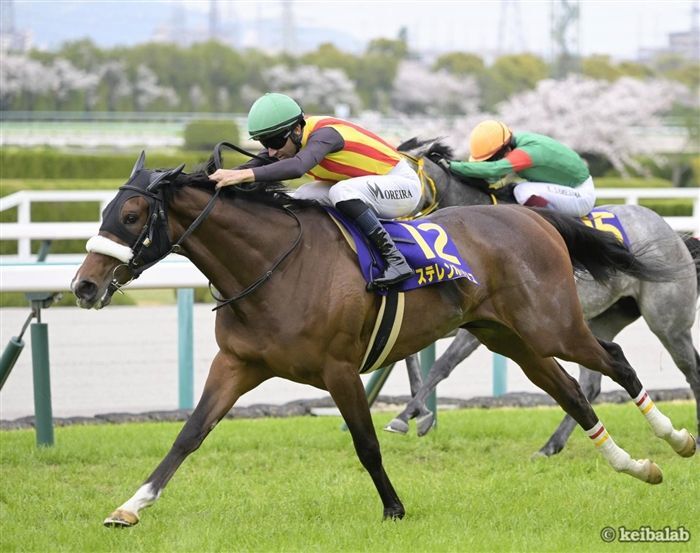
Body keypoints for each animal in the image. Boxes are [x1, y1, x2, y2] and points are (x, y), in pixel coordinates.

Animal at [388, 138, 700, 452]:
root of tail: (672, 232)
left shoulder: (478, 322)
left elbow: (442, 364)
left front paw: (405, 416)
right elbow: (407, 354)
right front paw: (419, 413)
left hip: (668, 324)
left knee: (691, 368)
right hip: (603, 319)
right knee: (593, 381)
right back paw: (552, 445)